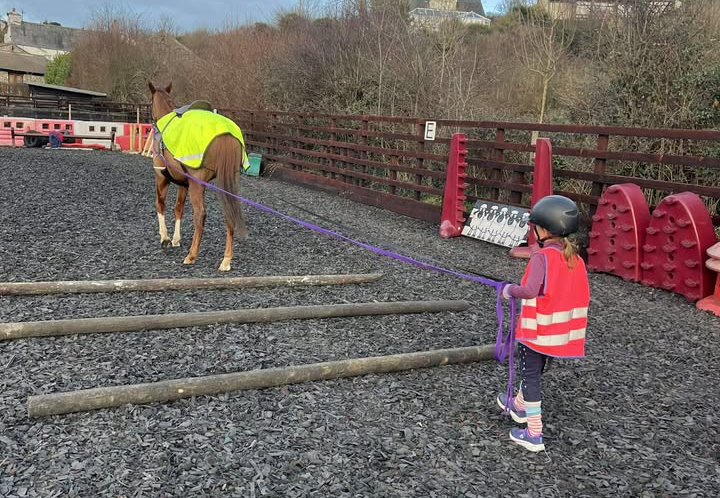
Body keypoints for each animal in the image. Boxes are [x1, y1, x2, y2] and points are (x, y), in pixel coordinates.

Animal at [149, 82, 248, 271]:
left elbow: (160, 204)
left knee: (200, 214)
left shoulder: (161, 176)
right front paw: (175, 239)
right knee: (229, 213)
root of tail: (226, 134)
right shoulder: (183, 184)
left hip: (198, 183)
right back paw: (226, 260)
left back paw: (192, 255)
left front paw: (165, 238)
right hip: (228, 181)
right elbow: (178, 208)